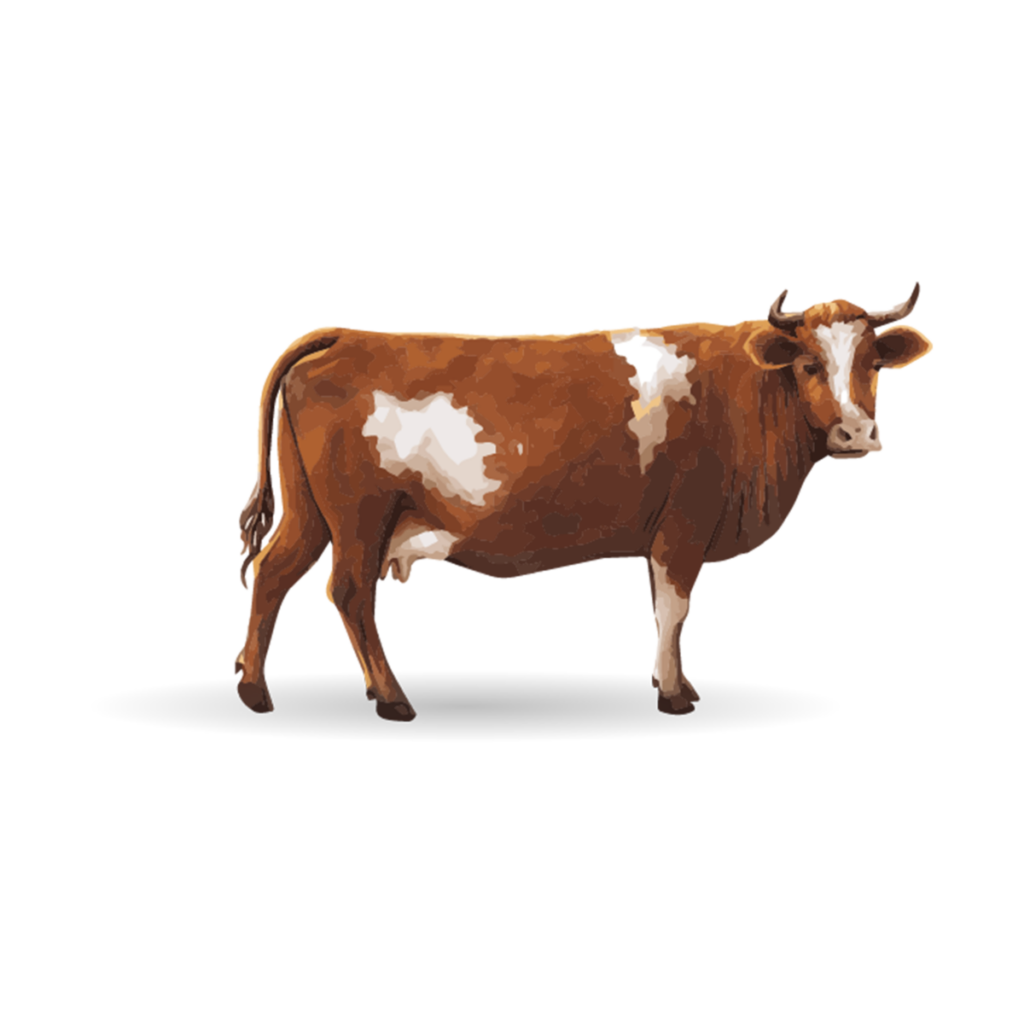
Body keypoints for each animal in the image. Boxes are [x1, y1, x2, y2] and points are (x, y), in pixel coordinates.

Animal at [234, 283, 932, 720]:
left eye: (873, 363)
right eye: (809, 365)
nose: (857, 434)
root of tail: (349, 335)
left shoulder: (665, 532)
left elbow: (662, 607)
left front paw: (669, 681)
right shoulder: (685, 523)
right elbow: (675, 609)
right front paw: (675, 693)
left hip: (309, 512)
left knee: (272, 574)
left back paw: (252, 686)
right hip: (360, 515)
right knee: (349, 591)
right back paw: (391, 698)